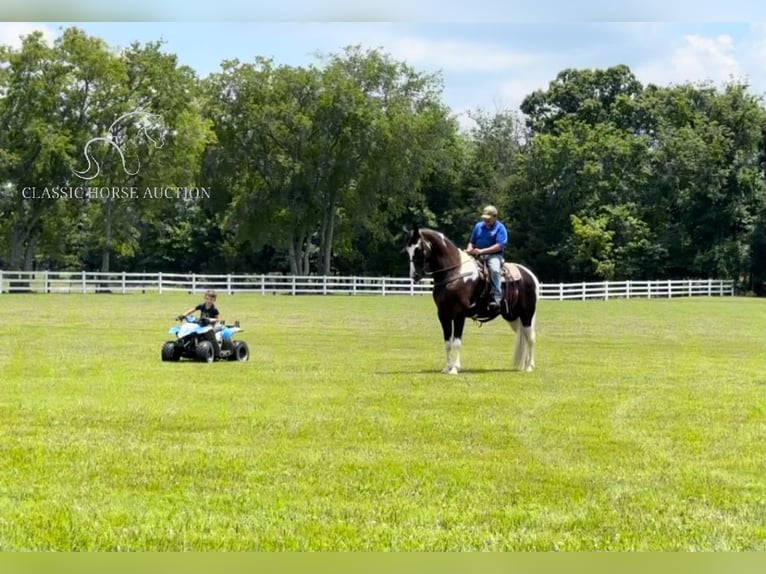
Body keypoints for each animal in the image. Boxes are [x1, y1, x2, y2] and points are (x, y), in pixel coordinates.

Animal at [408, 227, 540, 376]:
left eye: (418, 248)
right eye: (407, 249)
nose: (414, 275)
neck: (454, 273)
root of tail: (529, 275)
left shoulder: (459, 314)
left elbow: (456, 342)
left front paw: (454, 369)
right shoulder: (443, 315)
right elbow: (447, 343)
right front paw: (447, 368)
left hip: (527, 314)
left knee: (531, 337)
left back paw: (529, 366)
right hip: (512, 317)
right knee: (523, 335)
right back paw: (527, 364)